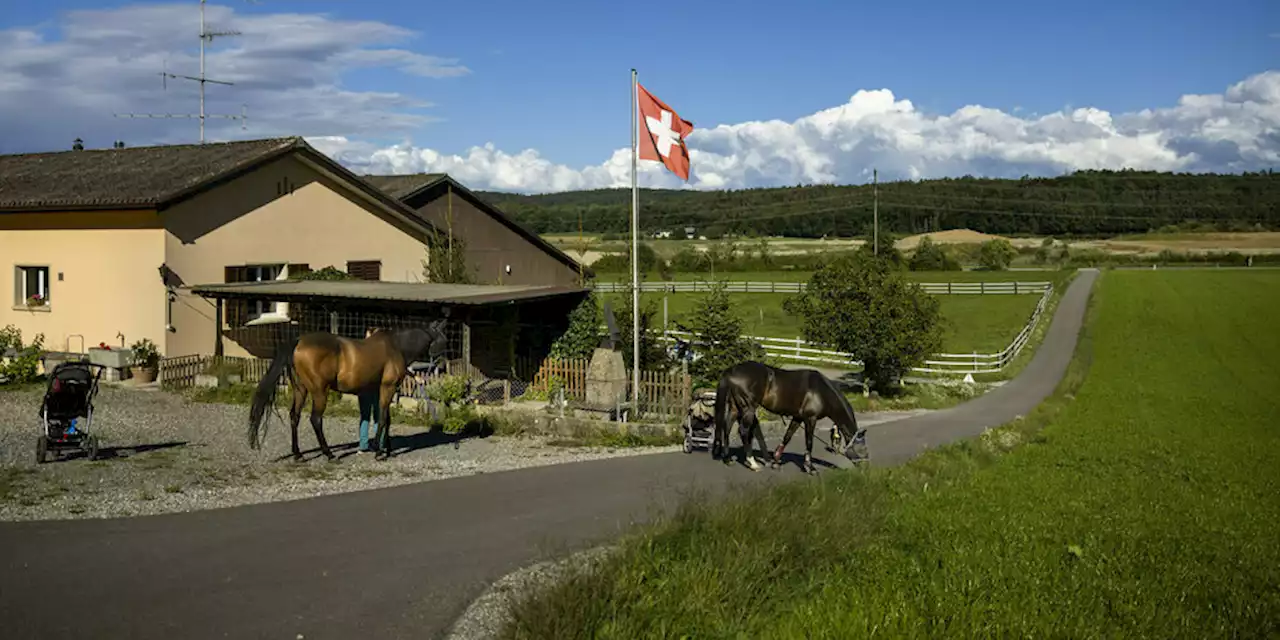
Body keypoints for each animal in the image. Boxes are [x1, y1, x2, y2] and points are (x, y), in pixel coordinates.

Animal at [245, 318, 450, 460]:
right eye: (444, 341)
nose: (443, 366)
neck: (396, 346)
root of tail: (298, 341)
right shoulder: (388, 387)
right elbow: (384, 418)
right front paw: (379, 451)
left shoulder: (381, 389)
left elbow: (386, 419)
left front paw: (387, 449)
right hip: (319, 392)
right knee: (315, 419)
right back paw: (329, 454)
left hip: (300, 390)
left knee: (294, 416)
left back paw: (298, 455)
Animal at [711, 360, 870, 476]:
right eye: (862, 448)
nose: (865, 467)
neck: (821, 392)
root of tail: (730, 371)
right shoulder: (810, 419)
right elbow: (809, 443)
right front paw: (810, 468)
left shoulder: (798, 418)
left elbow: (787, 437)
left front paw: (776, 461)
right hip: (748, 408)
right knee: (743, 432)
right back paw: (752, 463)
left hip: (735, 408)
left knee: (727, 427)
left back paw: (727, 459)